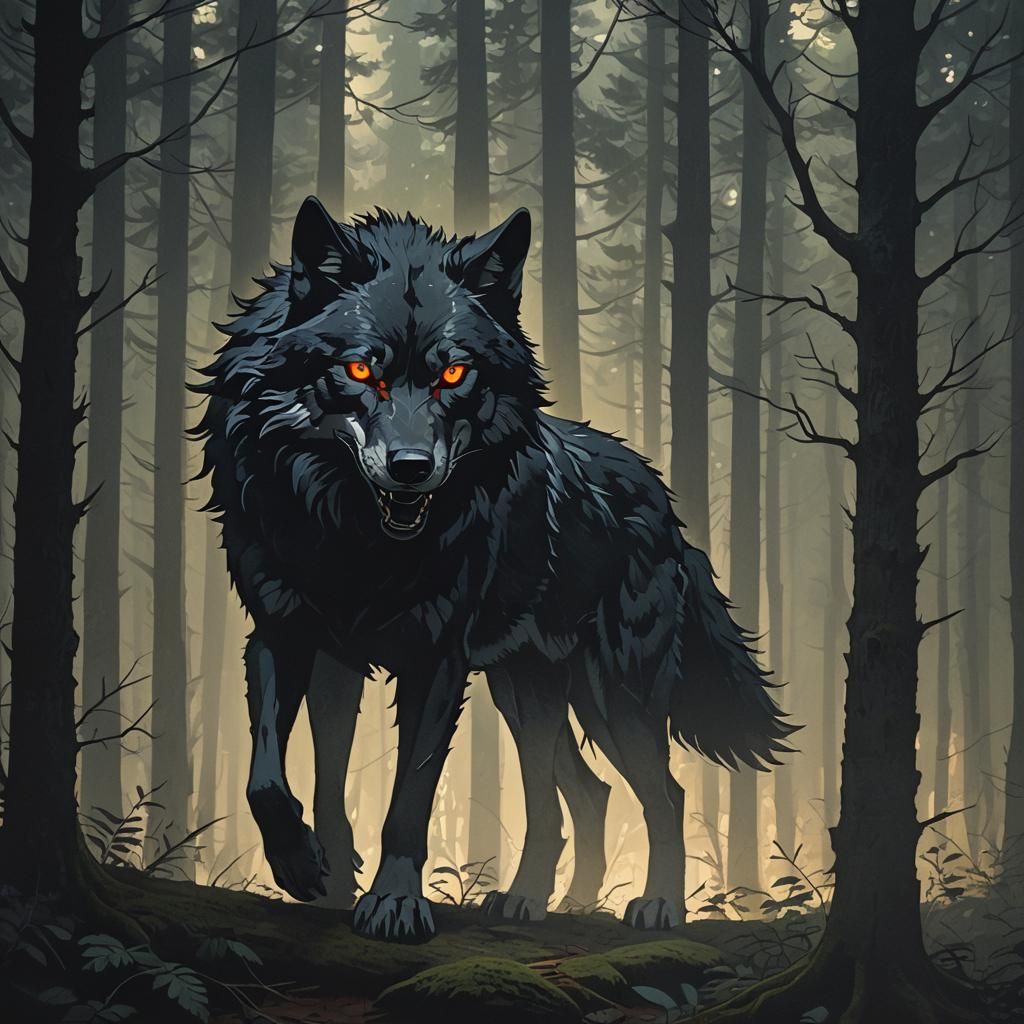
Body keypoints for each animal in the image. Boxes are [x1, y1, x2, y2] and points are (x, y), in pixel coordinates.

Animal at [194, 197, 796, 943]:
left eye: (454, 375)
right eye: (362, 371)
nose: (413, 468)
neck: (353, 540)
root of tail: (666, 506)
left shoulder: (436, 661)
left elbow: (409, 797)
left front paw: (394, 902)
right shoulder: (290, 635)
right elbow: (276, 776)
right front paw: (316, 871)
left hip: (612, 698)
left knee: (662, 794)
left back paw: (654, 906)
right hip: (529, 691)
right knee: (579, 796)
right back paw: (548, 901)